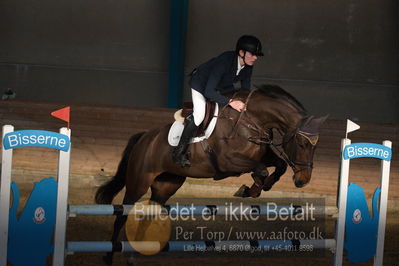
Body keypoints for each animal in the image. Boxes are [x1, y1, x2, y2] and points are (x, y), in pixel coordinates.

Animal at [94, 83, 328, 264]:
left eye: (316, 146)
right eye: (301, 143)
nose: (302, 181)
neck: (253, 120)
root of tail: (144, 138)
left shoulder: (262, 156)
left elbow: (278, 165)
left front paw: (261, 186)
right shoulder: (229, 161)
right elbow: (260, 169)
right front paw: (248, 189)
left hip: (166, 185)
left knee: (147, 215)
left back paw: (136, 254)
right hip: (138, 183)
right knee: (122, 215)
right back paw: (109, 256)